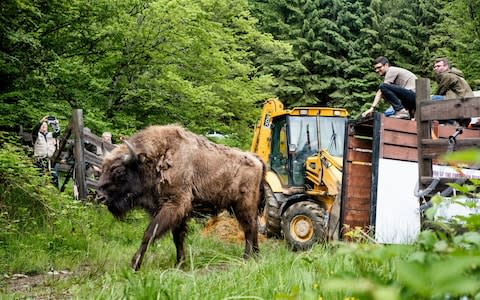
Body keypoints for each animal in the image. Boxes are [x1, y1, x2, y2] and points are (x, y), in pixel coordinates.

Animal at [97, 125, 262, 270]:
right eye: (102, 168)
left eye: (119, 171)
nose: (100, 197)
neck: (157, 158)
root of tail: (257, 160)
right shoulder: (176, 213)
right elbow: (177, 238)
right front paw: (179, 264)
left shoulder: (174, 205)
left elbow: (149, 234)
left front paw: (134, 264)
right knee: (253, 227)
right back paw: (256, 255)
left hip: (243, 206)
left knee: (249, 229)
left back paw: (246, 258)